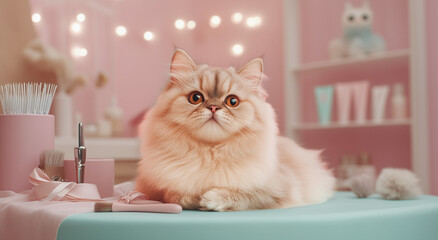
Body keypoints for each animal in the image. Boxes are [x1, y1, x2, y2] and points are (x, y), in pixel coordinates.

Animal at [135, 49, 334, 211]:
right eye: (195, 98)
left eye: (232, 101)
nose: (213, 107)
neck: (210, 153)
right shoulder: (153, 189)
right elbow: (175, 195)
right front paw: (195, 197)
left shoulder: (276, 190)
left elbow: (245, 195)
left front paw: (211, 198)